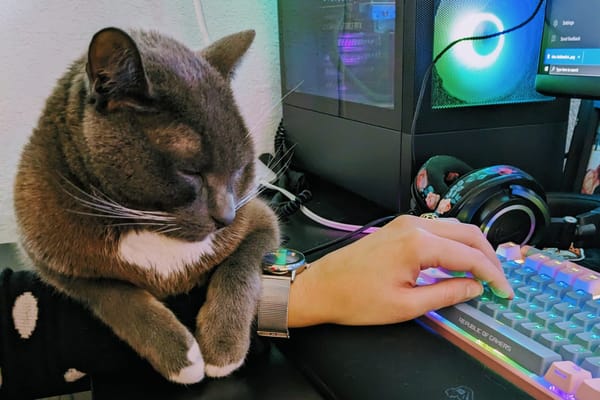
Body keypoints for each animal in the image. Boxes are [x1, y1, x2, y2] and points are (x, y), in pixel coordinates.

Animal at [13, 26, 282, 382]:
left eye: (239, 169)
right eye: (190, 171)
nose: (226, 217)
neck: (150, 224)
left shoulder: (261, 219)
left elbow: (240, 266)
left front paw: (223, 347)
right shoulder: (49, 260)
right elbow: (113, 292)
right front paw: (181, 357)